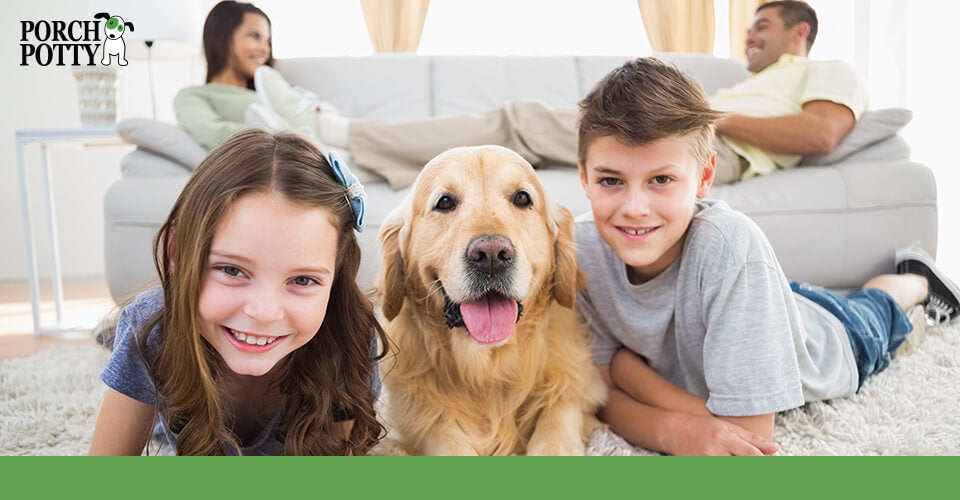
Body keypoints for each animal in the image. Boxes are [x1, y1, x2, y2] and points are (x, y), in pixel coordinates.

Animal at [378, 146, 604, 458]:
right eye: (445, 202)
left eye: (522, 198)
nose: (492, 255)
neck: (488, 367)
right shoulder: (420, 420)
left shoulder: (575, 392)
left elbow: (556, 427)